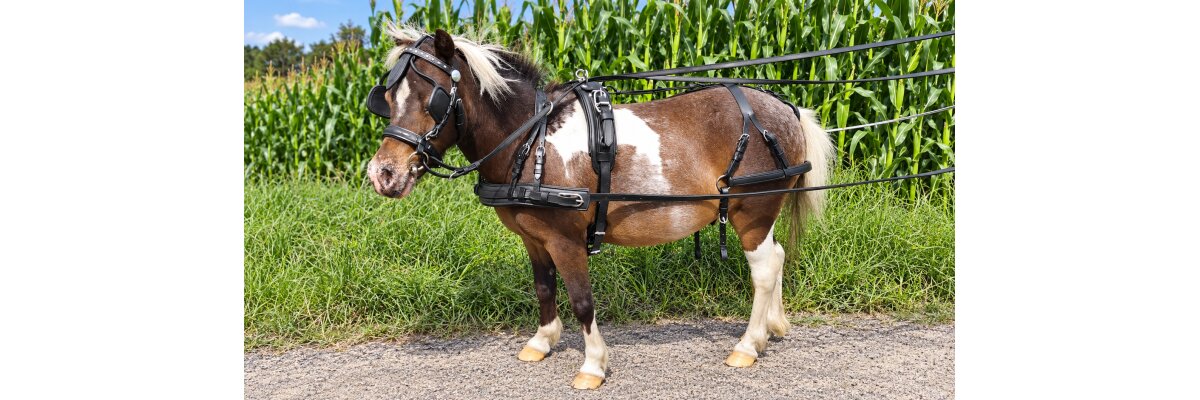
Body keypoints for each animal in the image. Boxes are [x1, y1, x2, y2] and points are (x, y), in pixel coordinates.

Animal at [364, 26, 833, 390]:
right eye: (387, 97)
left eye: (434, 97)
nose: (383, 174)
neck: (531, 140)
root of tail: (787, 108)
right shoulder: (534, 239)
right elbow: (544, 287)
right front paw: (541, 342)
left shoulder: (565, 239)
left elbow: (581, 300)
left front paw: (592, 366)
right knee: (777, 257)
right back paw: (772, 328)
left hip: (752, 211)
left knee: (764, 270)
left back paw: (747, 345)